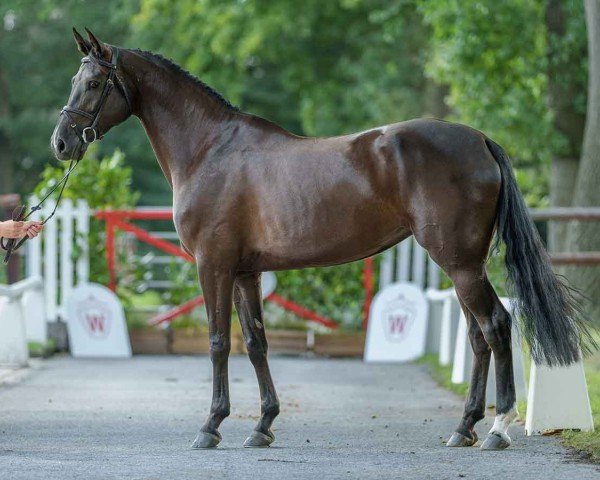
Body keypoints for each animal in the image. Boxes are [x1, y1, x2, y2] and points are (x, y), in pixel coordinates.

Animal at [50, 29, 592, 450]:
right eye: (74, 80)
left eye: (94, 83)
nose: (61, 143)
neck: (209, 149)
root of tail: (479, 139)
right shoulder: (246, 271)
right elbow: (256, 343)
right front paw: (263, 426)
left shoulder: (213, 266)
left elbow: (219, 342)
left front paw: (211, 426)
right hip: (460, 267)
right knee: (479, 336)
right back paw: (464, 428)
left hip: (461, 264)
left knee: (496, 326)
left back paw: (498, 428)